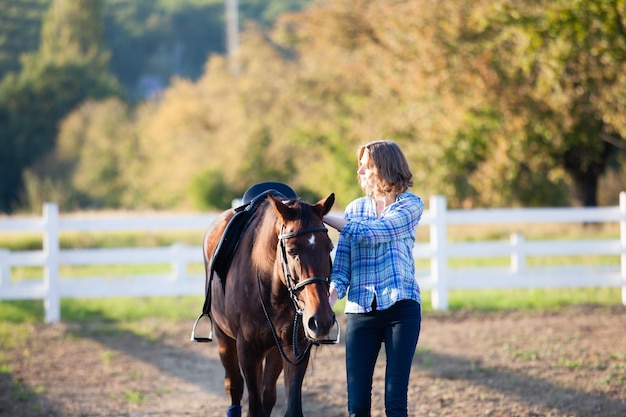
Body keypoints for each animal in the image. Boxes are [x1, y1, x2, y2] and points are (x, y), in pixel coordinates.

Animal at [200, 190, 336, 414]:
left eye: (330, 247)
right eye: (292, 250)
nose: (321, 321)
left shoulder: (295, 348)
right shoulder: (247, 350)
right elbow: (254, 406)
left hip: (274, 350)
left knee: (268, 394)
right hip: (223, 338)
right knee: (234, 387)